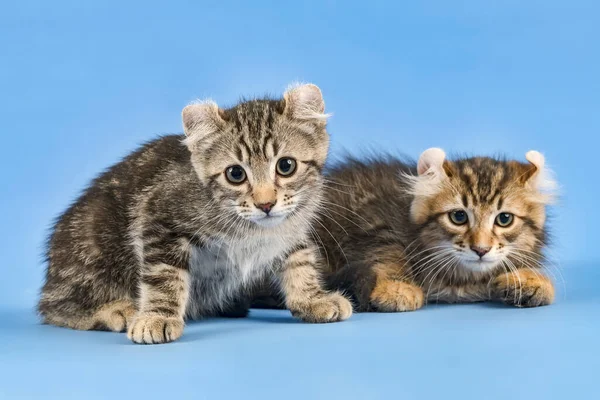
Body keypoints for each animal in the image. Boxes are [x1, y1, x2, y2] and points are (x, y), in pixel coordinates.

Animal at [37, 83, 352, 344]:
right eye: (235, 174)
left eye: (286, 166)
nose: (265, 204)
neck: (252, 228)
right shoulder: (159, 217)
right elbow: (164, 274)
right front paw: (158, 316)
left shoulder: (293, 226)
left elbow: (300, 259)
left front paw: (312, 299)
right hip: (93, 242)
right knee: (54, 307)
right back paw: (117, 310)